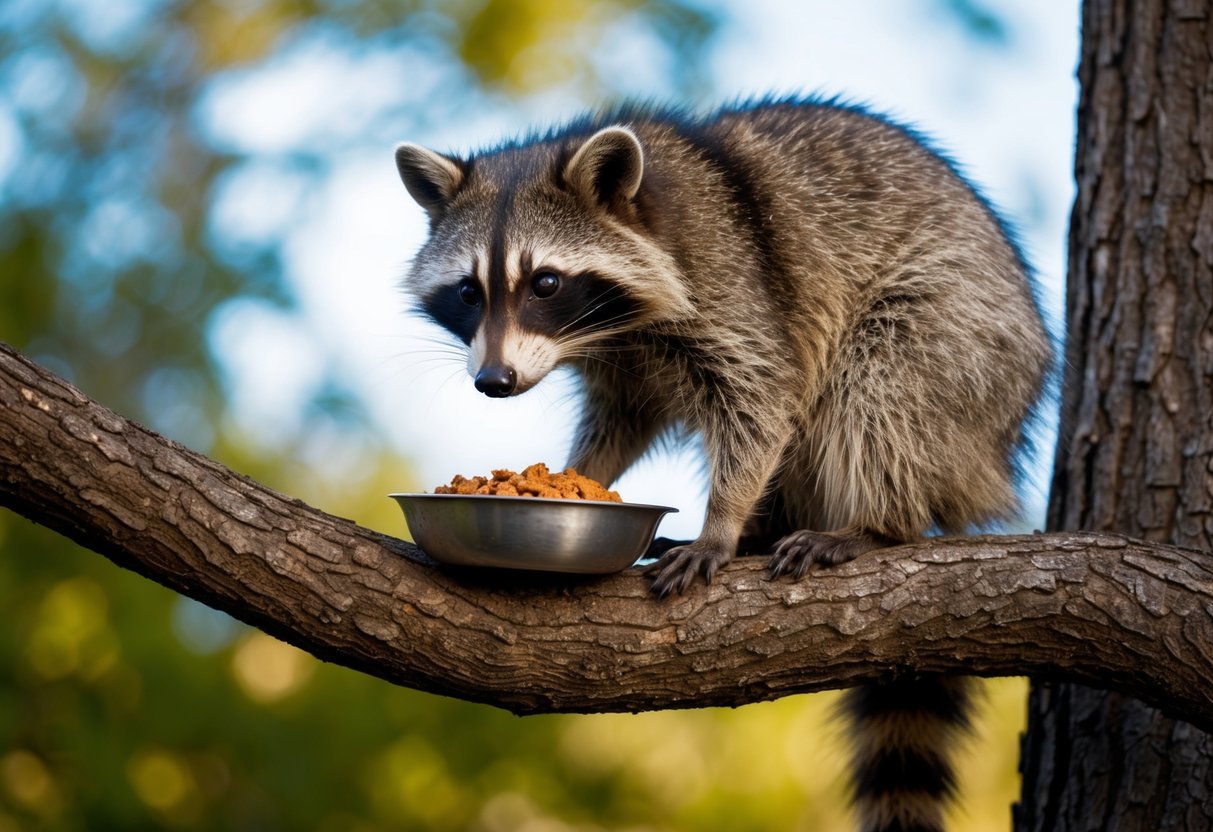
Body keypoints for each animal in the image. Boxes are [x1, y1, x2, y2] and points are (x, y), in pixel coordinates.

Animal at [394, 97, 1051, 832]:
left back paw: (876, 524)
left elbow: (764, 398)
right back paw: (771, 531)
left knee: (879, 383)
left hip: (961, 339)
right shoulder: (623, 362)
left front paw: (723, 521)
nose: (494, 382)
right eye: (467, 292)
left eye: (545, 283)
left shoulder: (729, 279)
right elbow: (621, 422)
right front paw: (582, 475)